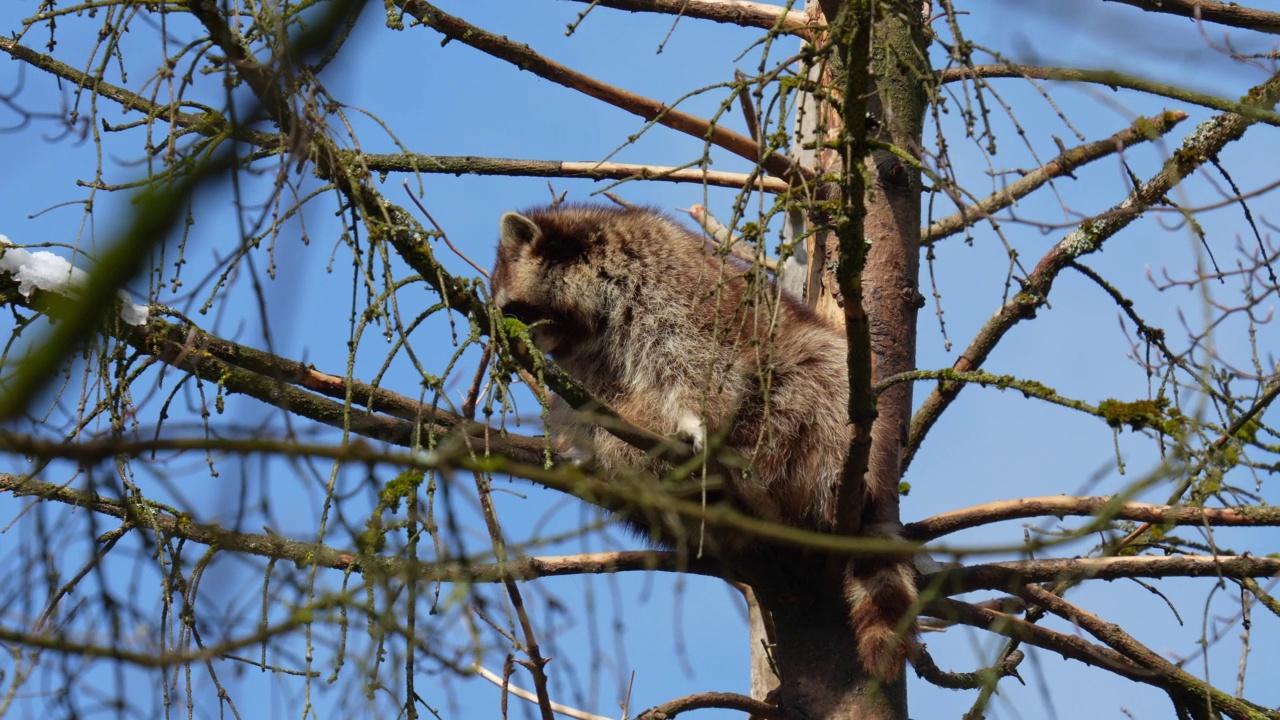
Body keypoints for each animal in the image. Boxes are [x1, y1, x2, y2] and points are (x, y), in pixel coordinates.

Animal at [483, 203, 916, 676]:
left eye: (515, 310)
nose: (513, 347)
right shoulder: (585, 357)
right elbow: (590, 403)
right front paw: (600, 447)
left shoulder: (671, 285)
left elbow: (702, 358)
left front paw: (695, 420)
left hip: (825, 409)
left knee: (809, 379)